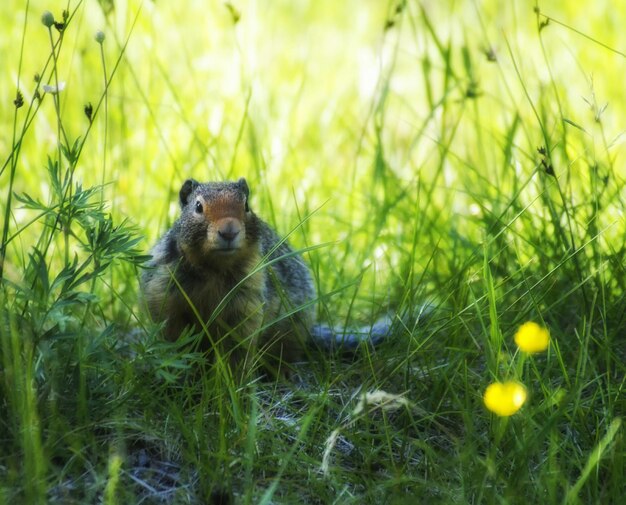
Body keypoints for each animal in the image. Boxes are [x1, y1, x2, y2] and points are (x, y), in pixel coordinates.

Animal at [143, 177, 314, 374]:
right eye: (198, 206)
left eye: (246, 205)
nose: (229, 231)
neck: (214, 270)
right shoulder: (165, 296)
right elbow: (177, 340)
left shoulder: (246, 303)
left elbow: (237, 348)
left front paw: (234, 378)